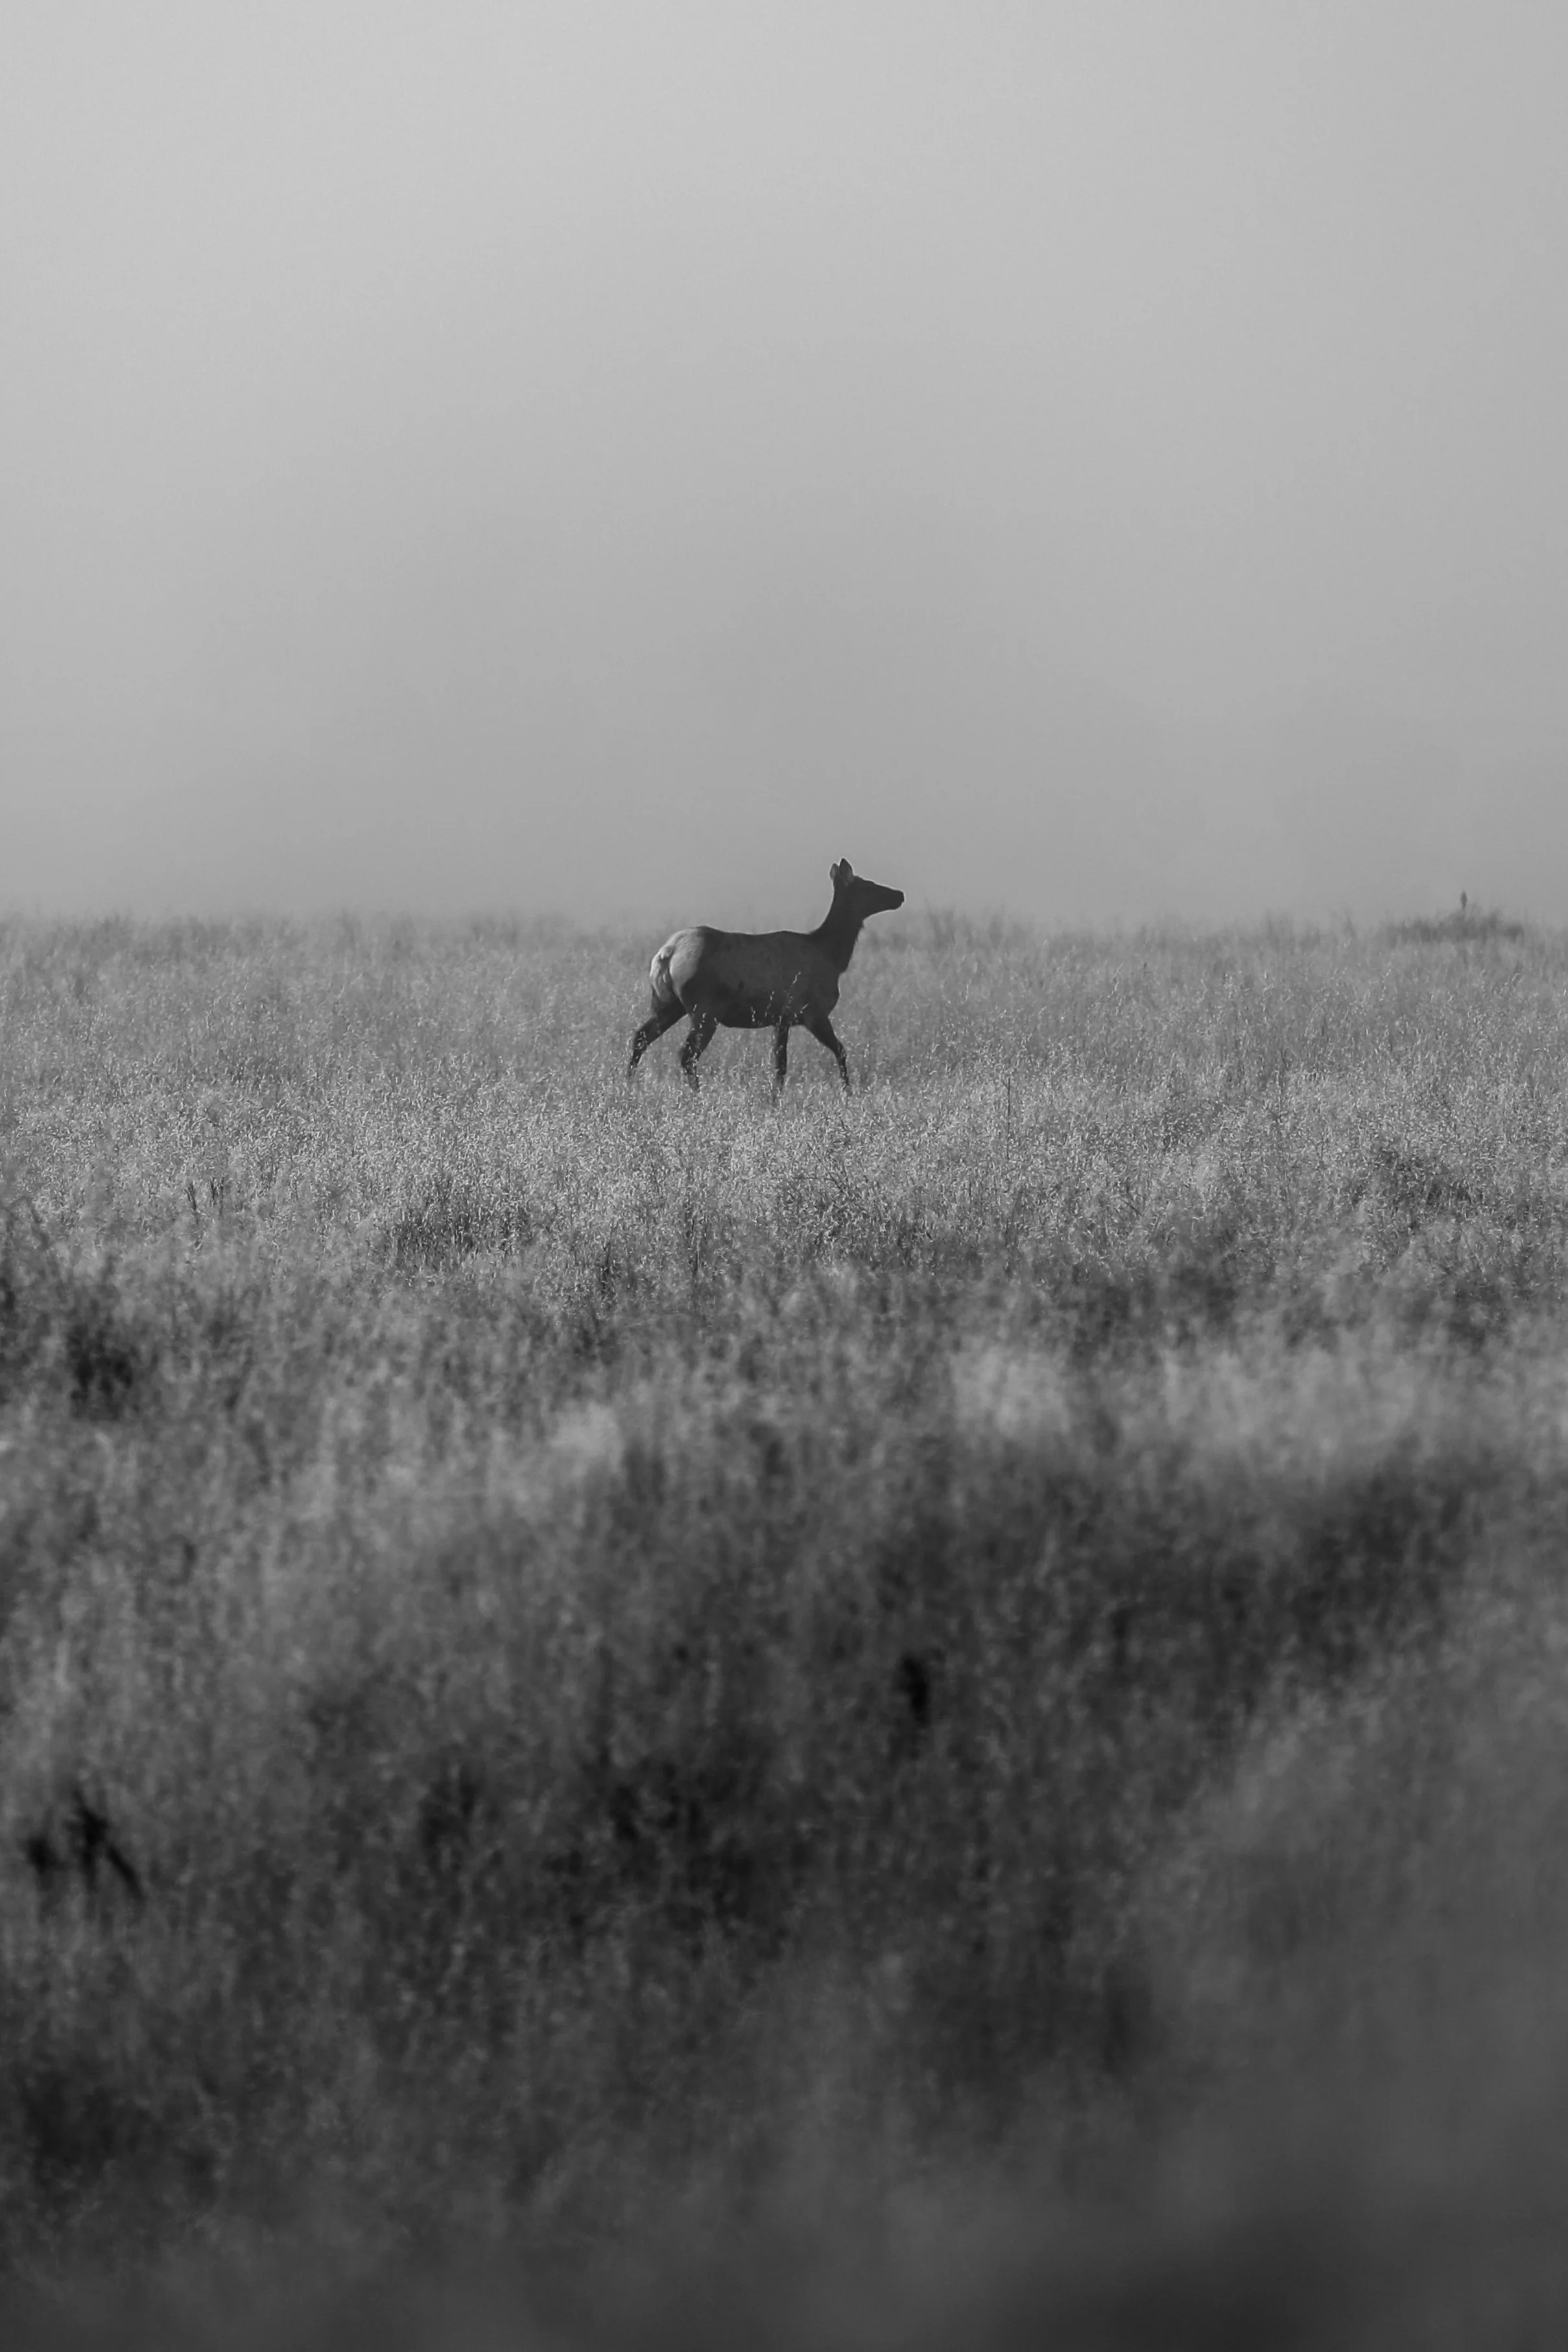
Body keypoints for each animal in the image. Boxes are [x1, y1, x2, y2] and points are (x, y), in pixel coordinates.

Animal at [628, 857, 905, 1098]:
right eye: (868, 885)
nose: (900, 895)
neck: (833, 957)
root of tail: (667, 954)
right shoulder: (812, 1012)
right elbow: (840, 1051)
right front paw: (848, 1093)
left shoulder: (781, 1019)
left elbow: (780, 1066)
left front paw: (774, 1100)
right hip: (705, 1009)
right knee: (687, 1054)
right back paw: (698, 1097)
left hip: (669, 1003)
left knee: (640, 1037)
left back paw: (628, 1087)